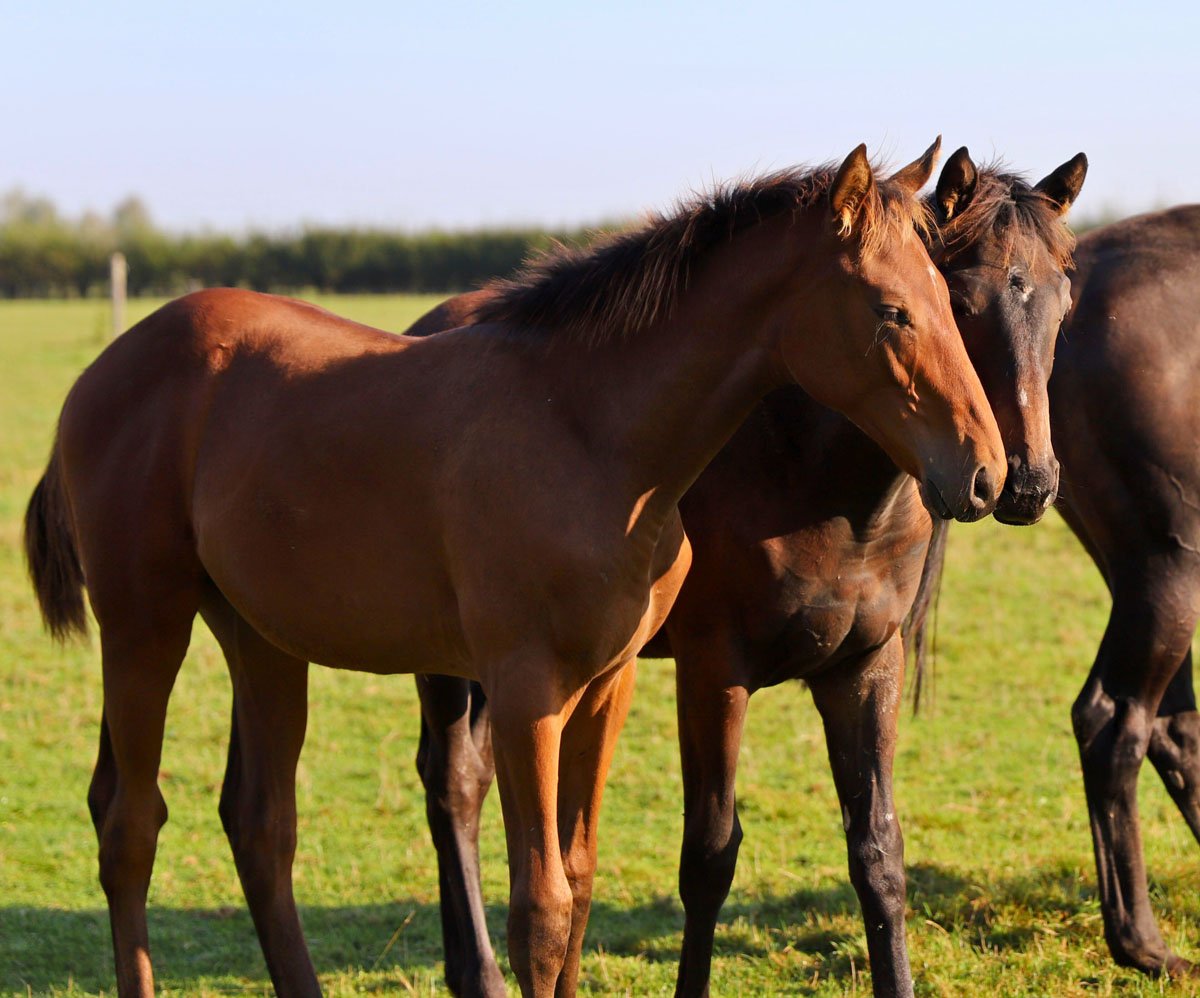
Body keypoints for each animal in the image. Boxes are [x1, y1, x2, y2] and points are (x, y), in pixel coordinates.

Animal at [23, 141, 1005, 998]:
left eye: (948, 299)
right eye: (889, 309)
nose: (987, 472)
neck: (595, 434)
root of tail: (101, 371)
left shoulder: (608, 687)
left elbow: (579, 879)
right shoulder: (529, 689)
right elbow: (541, 906)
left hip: (259, 636)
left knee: (260, 824)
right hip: (144, 623)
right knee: (130, 823)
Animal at [402, 148, 1086, 997]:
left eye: (1065, 294)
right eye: (962, 298)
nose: (1021, 481)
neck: (821, 488)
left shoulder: (866, 667)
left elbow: (879, 853)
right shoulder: (712, 672)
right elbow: (709, 858)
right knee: (455, 785)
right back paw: (477, 968)